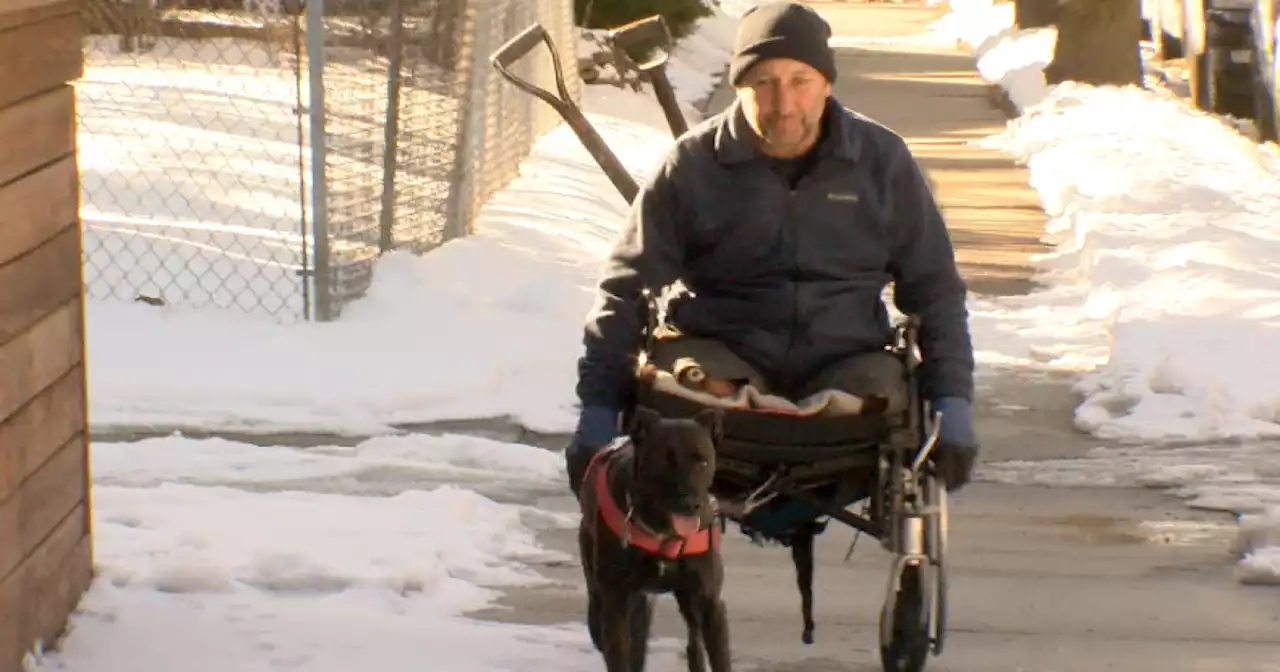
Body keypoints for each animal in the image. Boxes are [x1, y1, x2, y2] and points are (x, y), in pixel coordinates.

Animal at [578, 407, 732, 665]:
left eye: (702, 460)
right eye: (664, 461)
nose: (689, 504)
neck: (663, 534)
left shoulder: (709, 601)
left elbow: (720, 659)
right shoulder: (616, 600)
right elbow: (620, 655)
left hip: (686, 600)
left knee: (693, 640)